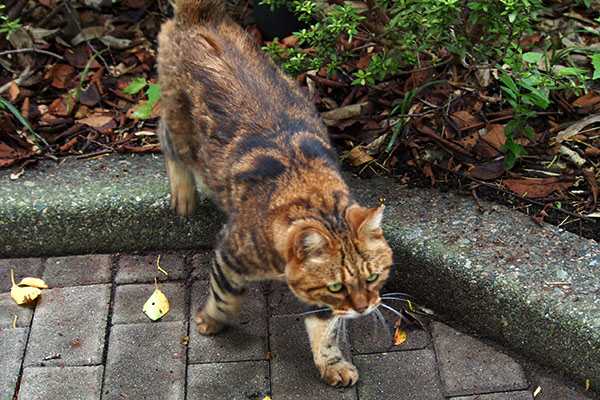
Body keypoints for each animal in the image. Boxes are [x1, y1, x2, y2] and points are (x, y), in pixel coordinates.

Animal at [157, 0, 396, 388]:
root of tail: (201, 15)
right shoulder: (230, 254)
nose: (364, 308)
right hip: (180, 125)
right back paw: (183, 192)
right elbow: (224, 297)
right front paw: (212, 319)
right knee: (165, 135)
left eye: (373, 278)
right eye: (337, 286)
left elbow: (325, 330)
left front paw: (332, 364)